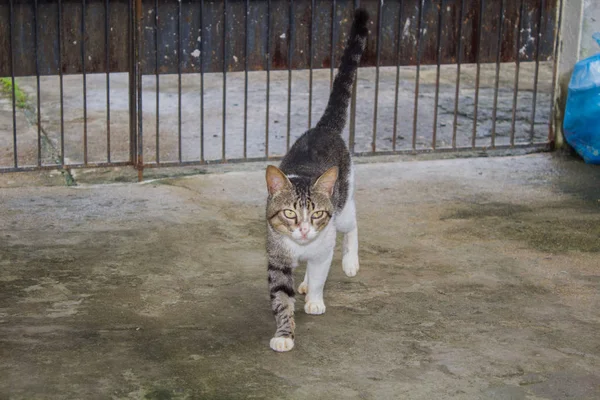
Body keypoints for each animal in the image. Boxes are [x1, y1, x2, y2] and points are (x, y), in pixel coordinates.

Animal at [264, 8, 368, 354]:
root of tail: (324, 128)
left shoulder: (324, 245)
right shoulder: (277, 258)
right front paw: (284, 333)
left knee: (353, 223)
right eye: (289, 214)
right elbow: (281, 298)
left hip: (344, 204)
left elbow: (321, 272)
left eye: (317, 213)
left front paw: (316, 301)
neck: (300, 247)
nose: (305, 230)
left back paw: (349, 262)